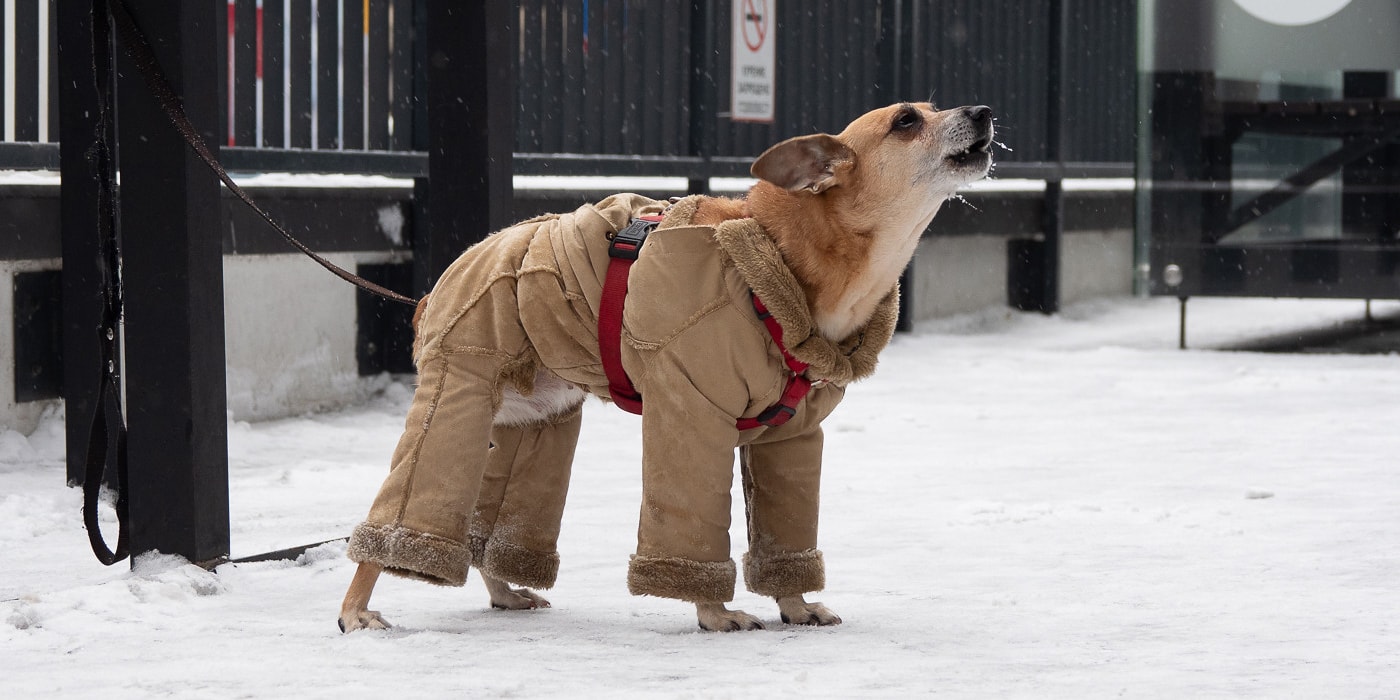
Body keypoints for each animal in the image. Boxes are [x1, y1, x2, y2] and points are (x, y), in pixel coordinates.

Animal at [338, 101, 996, 632]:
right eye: (906, 120)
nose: (984, 110)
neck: (779, 264)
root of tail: (441, 282)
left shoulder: (792, 439)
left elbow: (784, 526)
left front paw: (795, 603)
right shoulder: (691, 414)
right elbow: (690, 520)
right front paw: (715, 612)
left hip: (534, 424)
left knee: (493, 523)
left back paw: (504, 590)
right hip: (462, 391)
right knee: (398, 511)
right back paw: (357, 608)